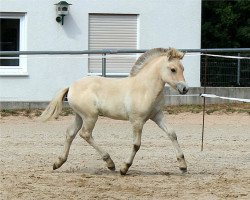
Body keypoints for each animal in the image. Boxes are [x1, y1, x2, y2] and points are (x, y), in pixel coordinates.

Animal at [40, 47, 188, 175]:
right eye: (173, 69)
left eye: (183, 68)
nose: (185, 89)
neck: (145, 88)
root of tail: (71, 86)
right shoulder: (137, 121)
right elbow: (136, 145)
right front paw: (124, 168)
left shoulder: (157, 116)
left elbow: (172, 134)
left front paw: (183, 166)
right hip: (90, 116)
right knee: (85, 134)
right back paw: (110, 163)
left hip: (80, 116)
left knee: (71, 133)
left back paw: (58, 162)